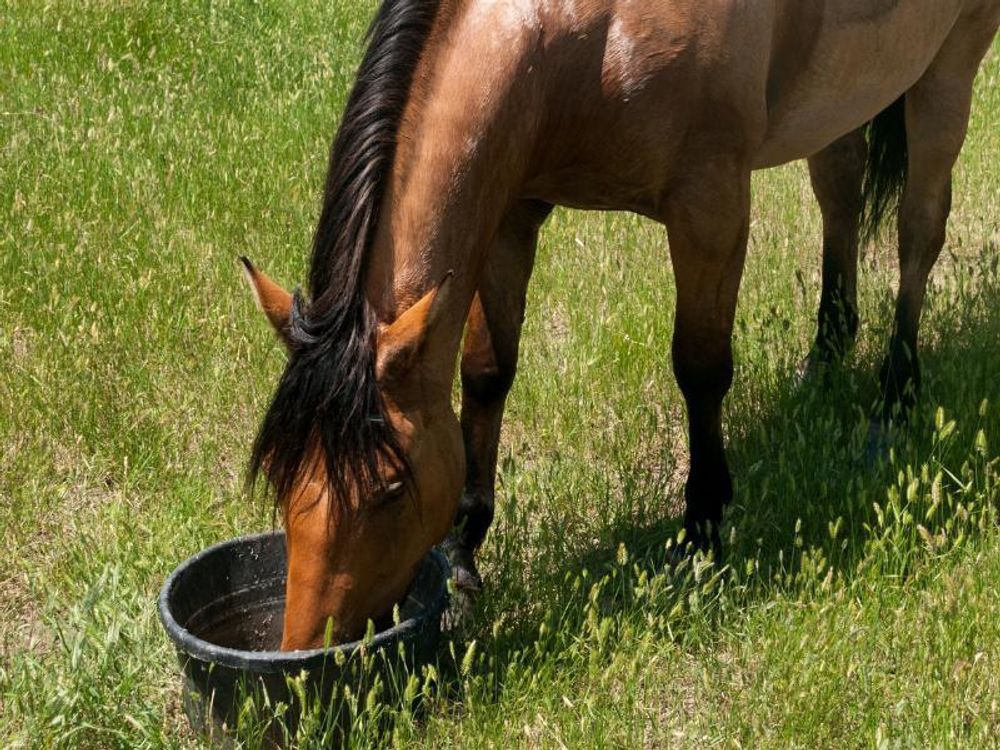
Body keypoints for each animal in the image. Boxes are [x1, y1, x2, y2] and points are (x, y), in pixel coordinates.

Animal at [241, 0, 1000, 649]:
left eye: (389, 491)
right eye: (281, 477)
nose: (307, 649)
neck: (583, 33)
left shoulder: (710, 207)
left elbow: (700, 370)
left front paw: (702, 529)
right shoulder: (511, 212)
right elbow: (487, 374)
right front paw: (464, 555)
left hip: (951, 63)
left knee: (919, 231)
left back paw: (894, 400)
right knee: (840, 189)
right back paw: (825, 359)